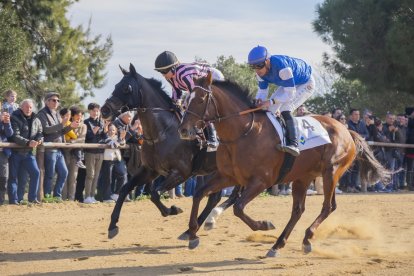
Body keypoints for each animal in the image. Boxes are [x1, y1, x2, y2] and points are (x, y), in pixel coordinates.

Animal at [100, 64, 236, 239]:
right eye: (116, 85)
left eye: (126, 88)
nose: (104, 110)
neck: (162, 132)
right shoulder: (150, 170)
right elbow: (125, 189)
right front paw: (112, 225)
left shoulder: (181, 172)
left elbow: (154, 193)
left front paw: (173, 209)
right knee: (215, 197)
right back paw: (193, 228)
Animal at [178, 72, 388, 258]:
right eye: (186, 99)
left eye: (201, 99)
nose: (183, 130)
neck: (243, 132)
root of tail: (346, 130)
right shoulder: (227, 176)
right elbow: (199, 194)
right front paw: (192, 234)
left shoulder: (261, 181)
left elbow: (238, 207)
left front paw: (264, 224)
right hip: (303, 177)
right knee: (299, 210)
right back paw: (278, 245)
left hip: (331, 172)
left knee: (328, 207)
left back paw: (306, 238)